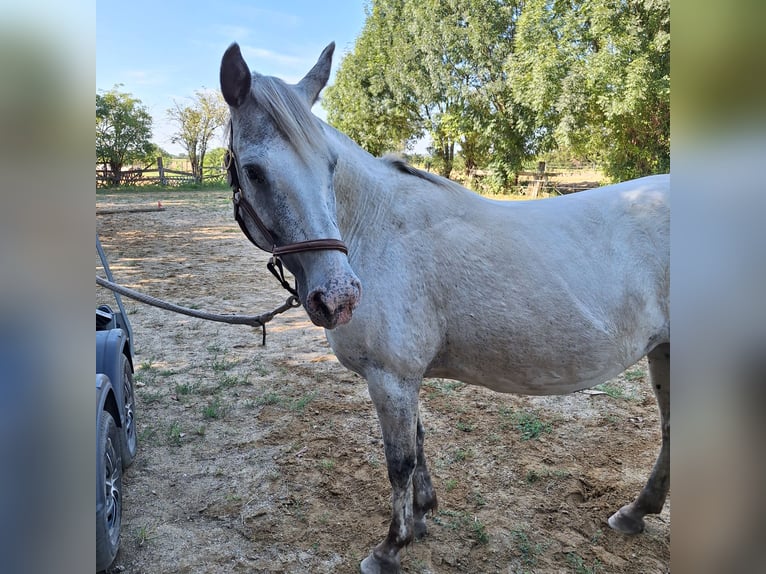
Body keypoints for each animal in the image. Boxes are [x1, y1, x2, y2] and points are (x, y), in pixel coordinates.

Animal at [219, 41, 668, 574]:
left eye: (330, 166)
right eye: (254, 170)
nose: (339, 297)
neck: (375, 227)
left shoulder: (390, 377)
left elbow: (399, 462)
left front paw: (390, 548)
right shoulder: (403, 377)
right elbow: (418, 443)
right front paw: (421, 517)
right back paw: (635, 513)